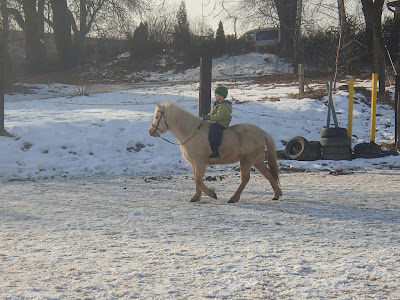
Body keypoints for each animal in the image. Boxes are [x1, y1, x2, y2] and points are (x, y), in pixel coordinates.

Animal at [148, 102, 282, 203]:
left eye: (157, 117)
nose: (150, 131)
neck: (191, 132)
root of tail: (262, 131)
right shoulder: (194, 164)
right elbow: (196, 180)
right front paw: (196, 197)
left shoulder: (200, 163)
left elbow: (198, 180)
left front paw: (212, 194)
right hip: (257, 160)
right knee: (268, 174)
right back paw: (277, 194)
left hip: (247, 160)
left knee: (245, 179)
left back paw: (233, 198)